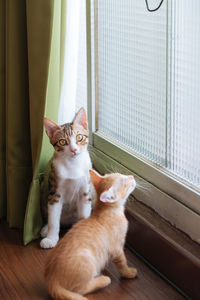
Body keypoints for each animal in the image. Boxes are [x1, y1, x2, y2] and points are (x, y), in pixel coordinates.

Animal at [40, 108, 94, 248]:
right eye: (62, 141)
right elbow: (53, 219)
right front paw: (51, 238)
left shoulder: (85, 191)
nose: (74, 150)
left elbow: (84, 214)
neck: (73, 165)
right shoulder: (55, 192)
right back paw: (45, 229)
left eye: (79, 137)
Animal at [44, 170, 137, 298]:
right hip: (87, 262)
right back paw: (103, 280)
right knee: (80, 290)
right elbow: (122, 262)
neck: (105, 211)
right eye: (125, 181)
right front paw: (128, 272)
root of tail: (51, 280)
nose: (132, 176)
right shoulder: (117, 248)